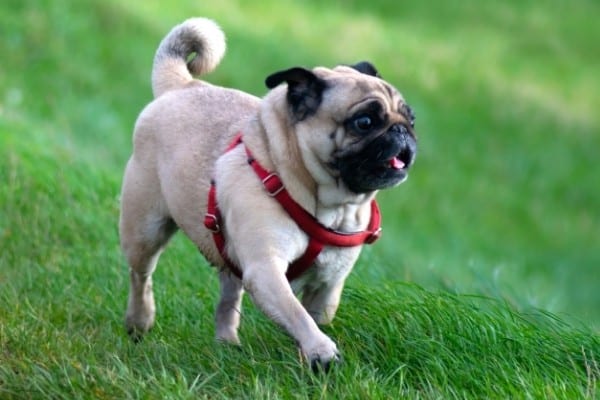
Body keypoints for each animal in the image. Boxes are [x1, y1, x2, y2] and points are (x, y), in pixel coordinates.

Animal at [119, 17, 414, 370]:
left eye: (411, 118)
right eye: (364, 122)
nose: (402, 131)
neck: (330, 204)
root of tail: (182, 85)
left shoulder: (328, 285)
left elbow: (316, 316)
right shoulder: (266, 270)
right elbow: (297, 314)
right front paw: (321, 351)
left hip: (228, 251)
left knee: (228, 296)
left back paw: (227, 344)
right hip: (144, 229)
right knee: (141, 275)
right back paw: (140, 321)